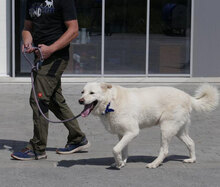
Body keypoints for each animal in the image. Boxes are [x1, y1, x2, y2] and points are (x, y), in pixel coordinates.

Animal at [78, 82, 218, 169]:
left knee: (164, 150)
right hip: (178, 130)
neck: (110, 102)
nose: (80, 101)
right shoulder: (122, 134)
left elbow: (115, 149)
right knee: (191, 142)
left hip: (166, 129)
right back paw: (191, 159)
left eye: (92, 93)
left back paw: (154, 164)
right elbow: (123, 150)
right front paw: (122, 162)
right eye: (82, 92)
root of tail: (188, 97)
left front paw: (118, 163)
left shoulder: (132, 132)